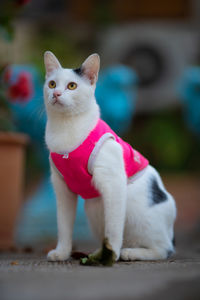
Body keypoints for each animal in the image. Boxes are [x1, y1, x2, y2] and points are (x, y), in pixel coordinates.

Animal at [43, 50, 177, 266]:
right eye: (52, 84)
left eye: (72, 86)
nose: (55, 94)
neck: (65, 128)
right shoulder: (62, 187)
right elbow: (63, 224)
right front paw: (62, 252)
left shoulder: (113, 183)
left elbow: (113, 229)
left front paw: (110, 255)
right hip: (94, 208)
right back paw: (98, 252)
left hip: (137, 213)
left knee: (163, 249)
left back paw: (130, 252)